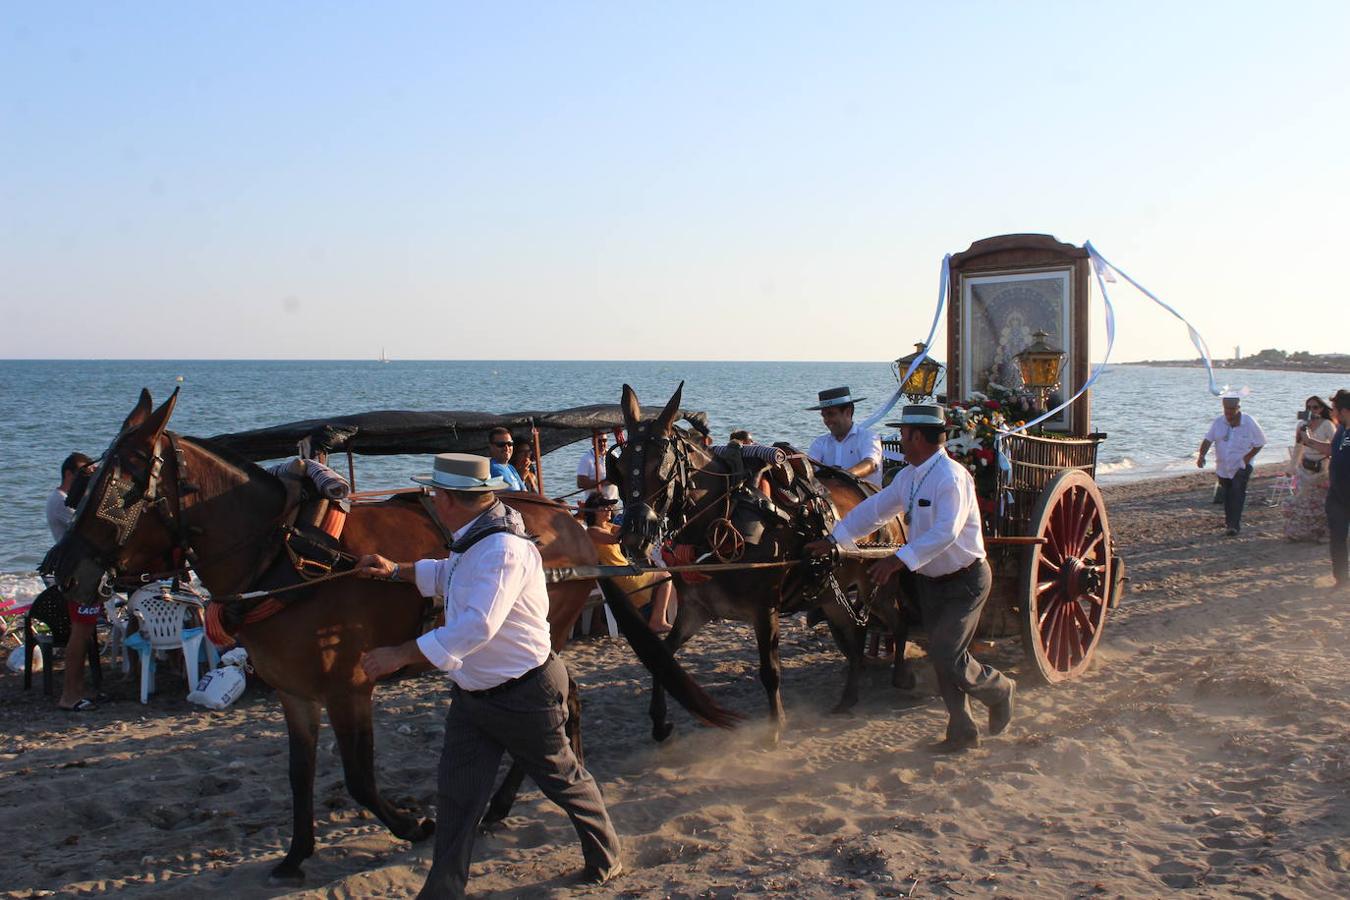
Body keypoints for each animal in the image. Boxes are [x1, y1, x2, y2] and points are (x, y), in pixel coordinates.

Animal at [44, 388, 739, 885]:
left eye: (126, 479)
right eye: (88, 479)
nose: (61, 570)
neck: (288, 555)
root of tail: (578, 529)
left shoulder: (348, 688)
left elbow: (358, 778)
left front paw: (411, 825)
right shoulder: (296, 694)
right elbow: (299, 773)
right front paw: (296, 852)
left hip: (546, 634)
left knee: (552, 711)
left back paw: (505, 802)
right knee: (562, 709)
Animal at [615, 383, 912, 744]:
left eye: (661, 468)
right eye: (620, 466)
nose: (633, 537)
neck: (724, 513)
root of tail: (886, 498)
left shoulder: (764, 609)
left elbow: (770, 671)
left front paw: (774, 728)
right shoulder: (697, 609)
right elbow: (662, 656)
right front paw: (660, 723)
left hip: (877, 583)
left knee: (898, 624)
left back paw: (901, 677)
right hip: (830, 594)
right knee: (856, 634)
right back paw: (848, 698)